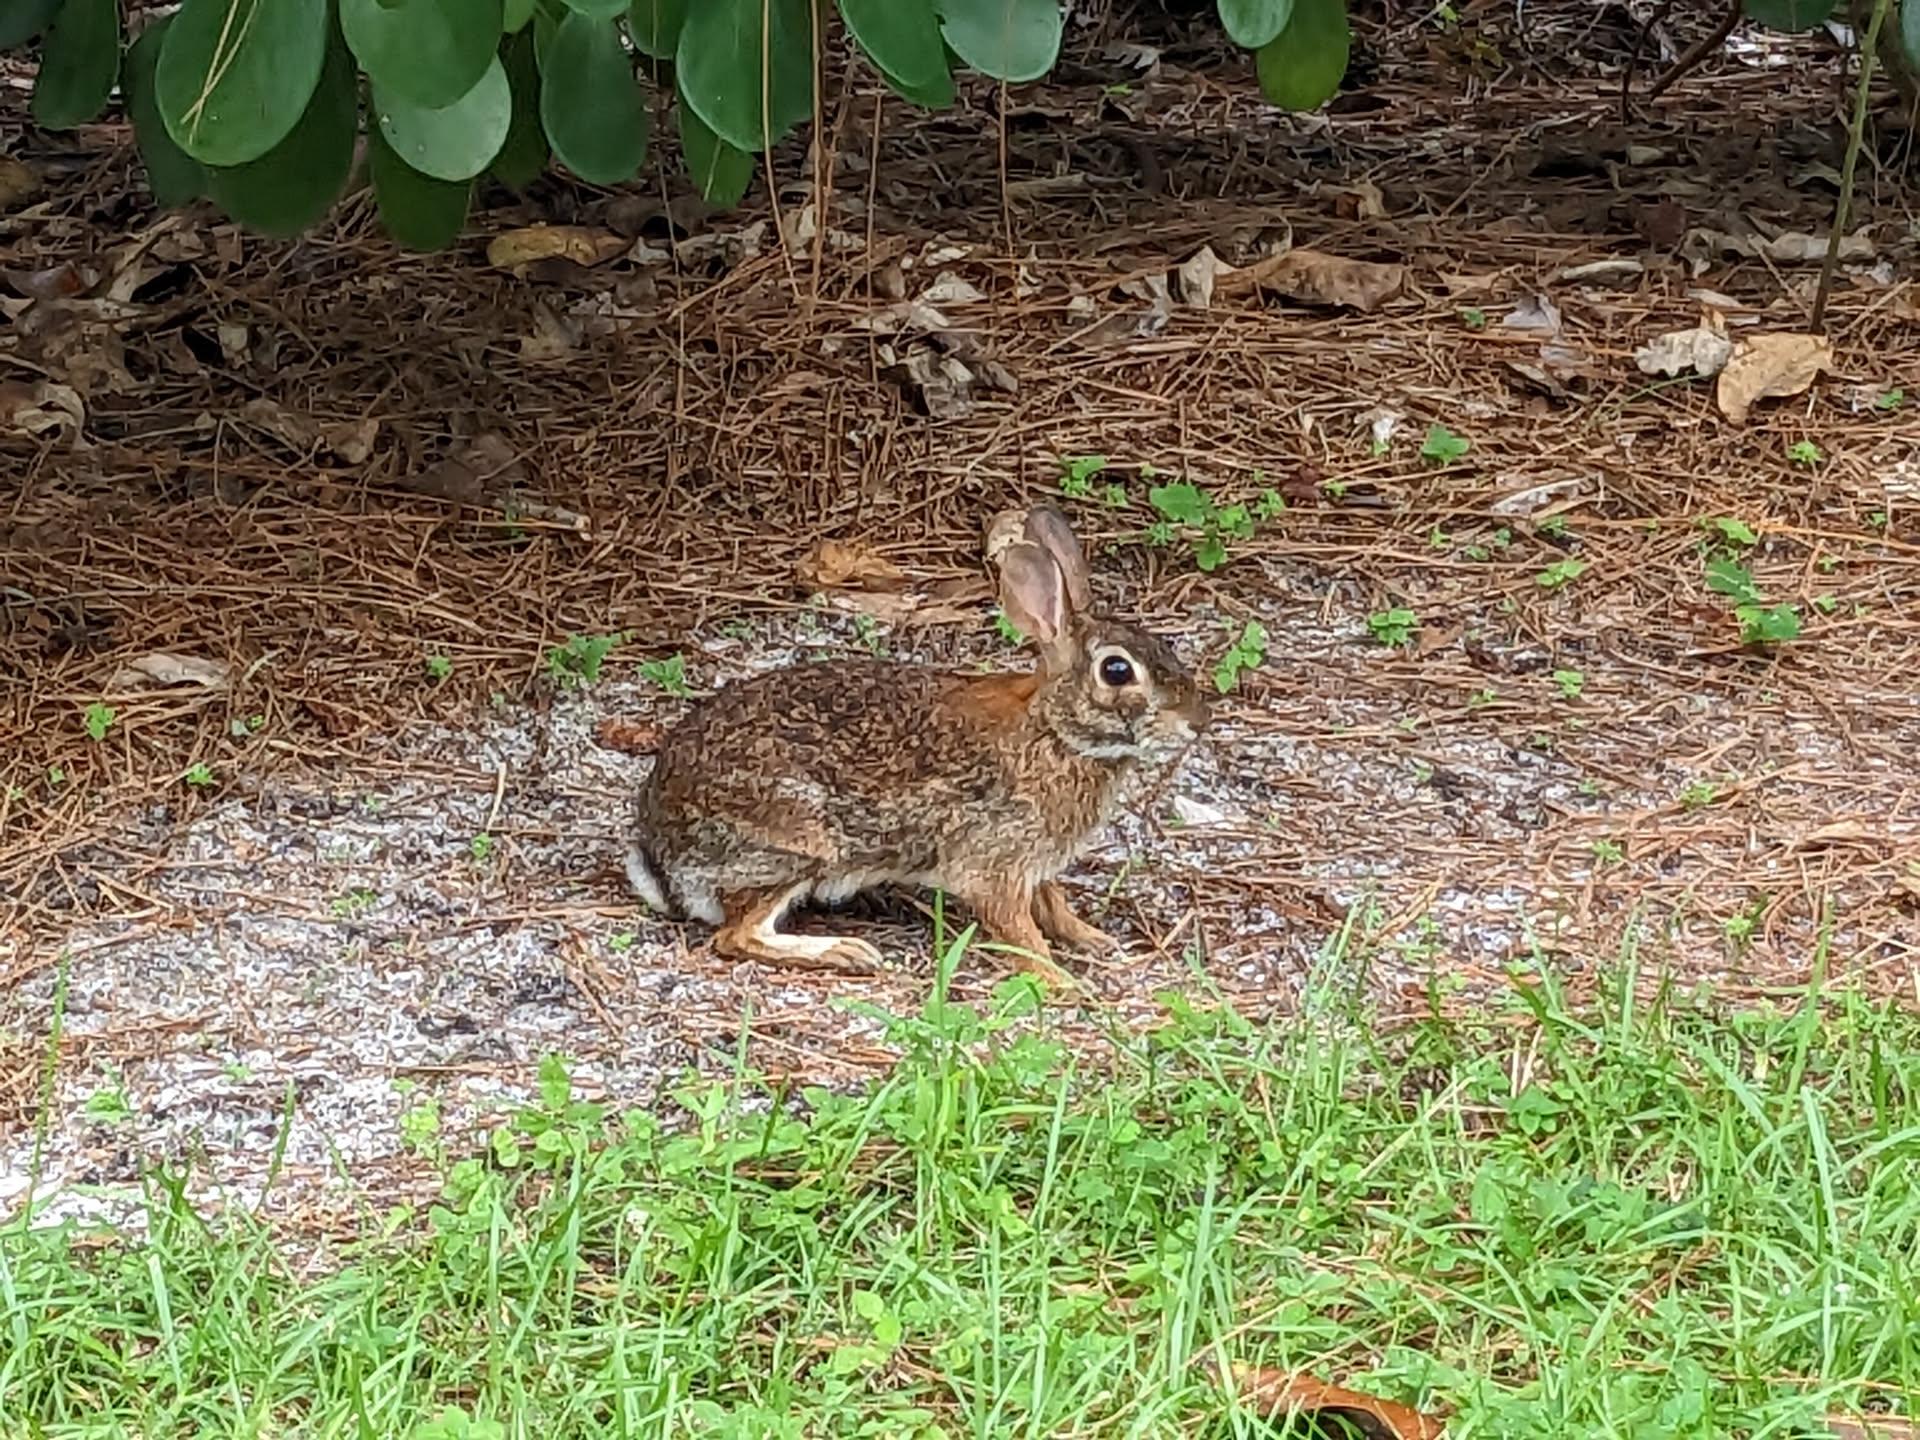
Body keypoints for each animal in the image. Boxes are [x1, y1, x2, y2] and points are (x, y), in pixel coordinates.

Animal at [624, 504, 1210, 985]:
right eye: (1117, 671)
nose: (1197, 723)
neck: (1055, 732)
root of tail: (661, 861)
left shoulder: (1033, 863)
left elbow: (1052, 901)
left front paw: (1092, 938)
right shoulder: (994, 864)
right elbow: (1018, 930)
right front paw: (1061, 980)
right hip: (798, 842)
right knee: (736, 935)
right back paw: (844, 952)